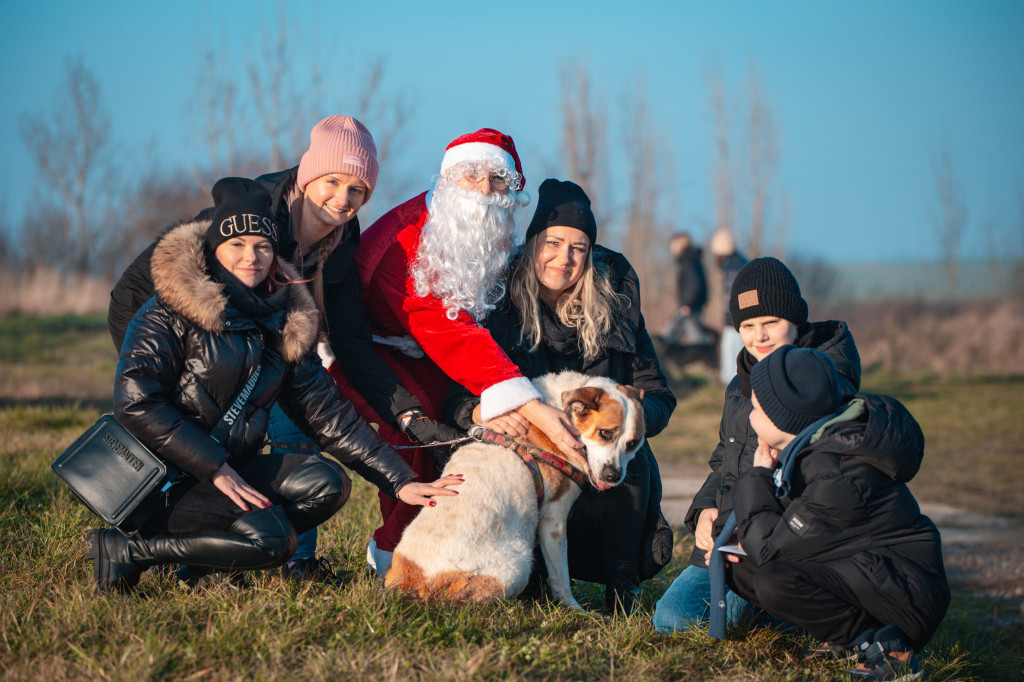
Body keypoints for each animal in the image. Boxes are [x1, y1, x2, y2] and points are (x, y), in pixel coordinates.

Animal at [387, 368, 643, 606]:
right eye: (605, 433)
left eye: (633, 443)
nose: (613, 476)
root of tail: (416, 580)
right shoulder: (553, 519)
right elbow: (561, 576)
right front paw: (574, 609)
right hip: (518, 567)